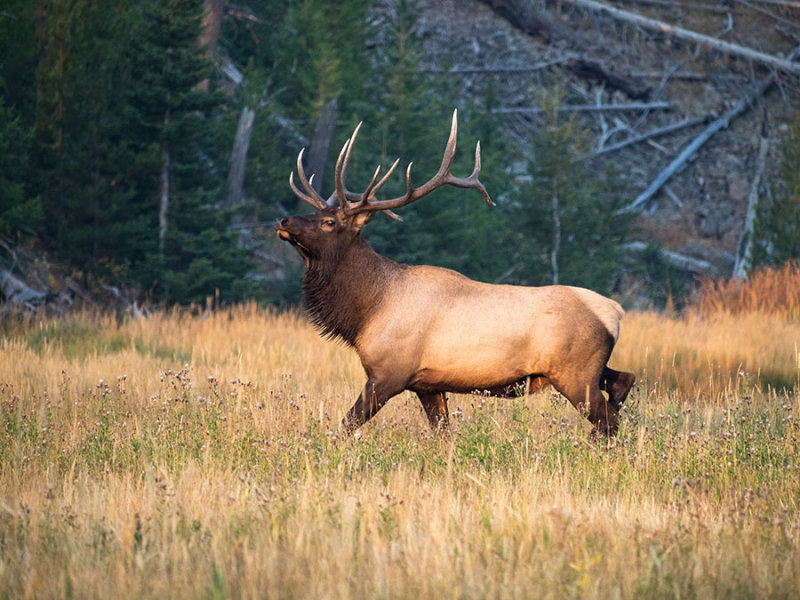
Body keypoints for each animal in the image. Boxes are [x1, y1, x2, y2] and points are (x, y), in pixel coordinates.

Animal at [278, 110, 636, 436]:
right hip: (591, 368)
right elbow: (443, 435)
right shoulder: (427, 384)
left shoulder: (389, 373)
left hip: (576, 373)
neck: (366, 312)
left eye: (329, 222)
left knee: (608, 420)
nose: (283, 221)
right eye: (314, 212)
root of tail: (614, 312)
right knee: (624, 382)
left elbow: (344, 426)